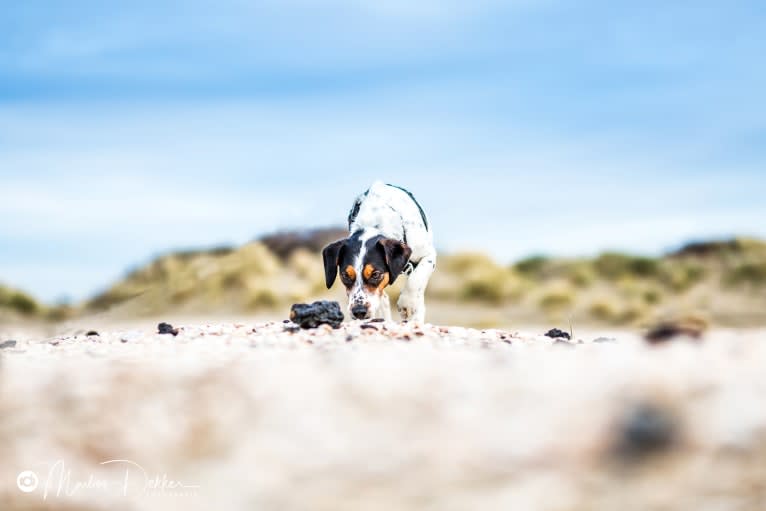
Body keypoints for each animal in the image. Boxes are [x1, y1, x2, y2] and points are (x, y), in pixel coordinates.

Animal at [320, 182, 436, 322]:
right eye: (345, 275)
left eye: (375, 274)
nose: (358, 312)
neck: (374, 223)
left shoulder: (429, 255)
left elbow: (415, 280)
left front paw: (407, 303)